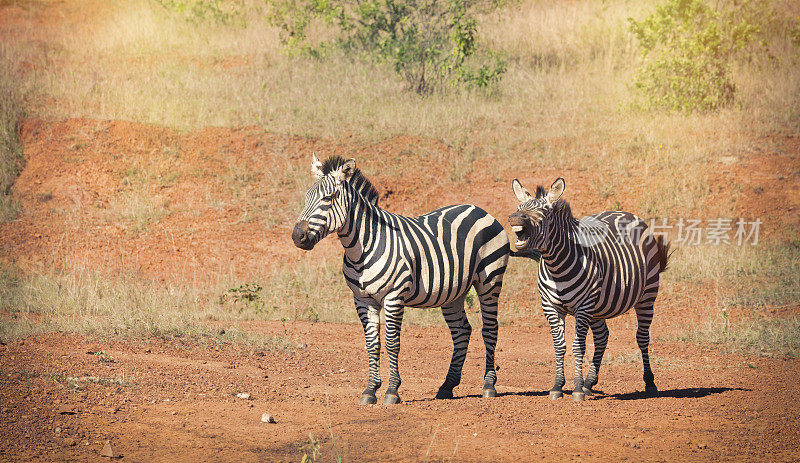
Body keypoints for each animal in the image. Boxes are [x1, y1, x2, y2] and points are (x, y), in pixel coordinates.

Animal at [290, 154, 510, 404]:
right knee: (462, 331)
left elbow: (392, 342)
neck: (362, 249)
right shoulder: (362, 299)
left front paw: (392, 390)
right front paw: (370, 390)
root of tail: (479, 209)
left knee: (490, 329)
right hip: (454, 291)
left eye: (328, 198)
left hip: (490, 281)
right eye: (306, 198)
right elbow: (372, 343)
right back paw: (447, 386)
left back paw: (489, 385)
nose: (297, 236)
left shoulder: (394, 297)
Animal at [510, 178, 672, 402]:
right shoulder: (550, 307)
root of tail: (627, 214)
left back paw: (649, 382)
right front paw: (558, 386)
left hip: (647, 295)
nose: (515, 218)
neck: (556, 267)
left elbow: (578, 346)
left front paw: (577, 389)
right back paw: (589, 382)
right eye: (520, 208)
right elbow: (559, 346)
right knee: (602, 336)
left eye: (545, 212)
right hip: (599, 307)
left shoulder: (583, 306)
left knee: (642, 337)